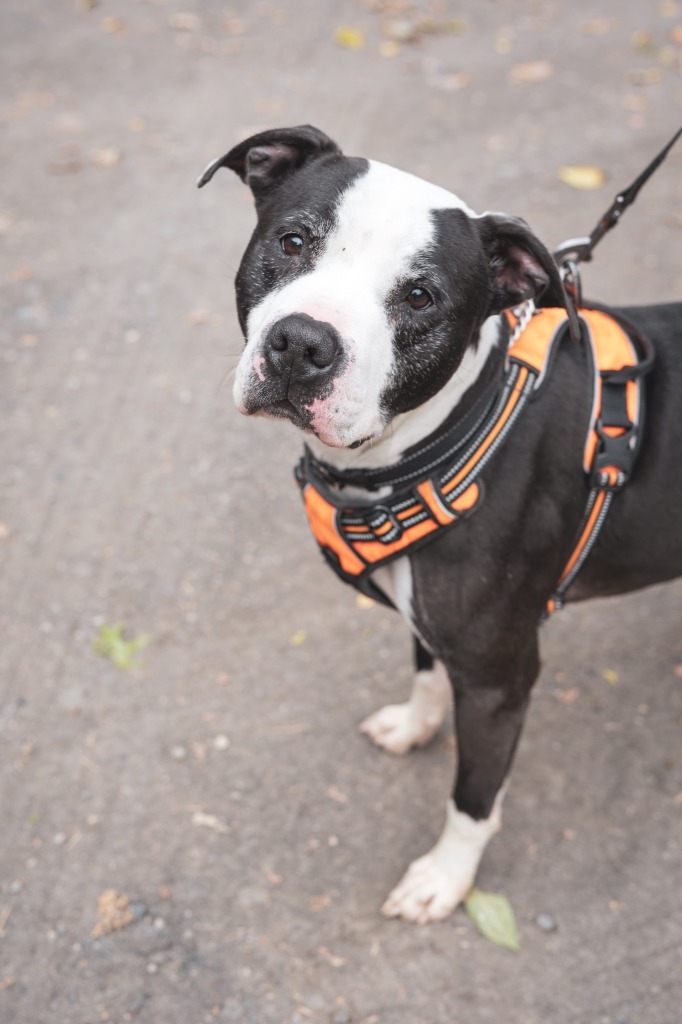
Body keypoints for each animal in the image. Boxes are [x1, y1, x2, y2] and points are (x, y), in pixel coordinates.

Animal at [196, 123, 679, 925]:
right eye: (293, 242)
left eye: (420, 296)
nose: (302, 343)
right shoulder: (427, 609)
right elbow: (423, 665)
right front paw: (414, 723)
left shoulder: (499, 679)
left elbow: (473, 799)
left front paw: (444, 880)